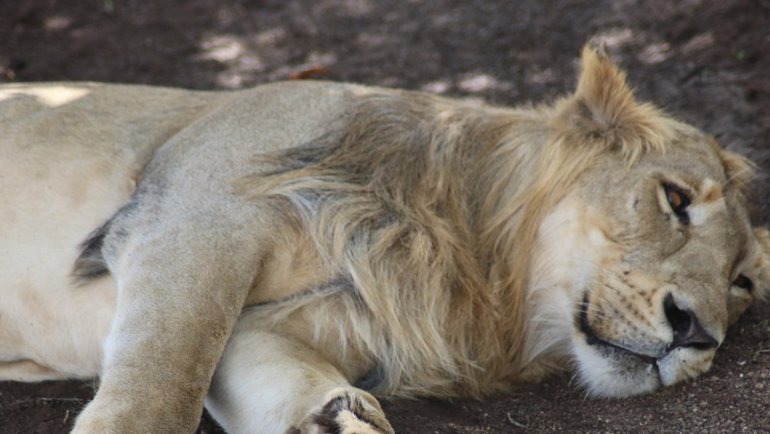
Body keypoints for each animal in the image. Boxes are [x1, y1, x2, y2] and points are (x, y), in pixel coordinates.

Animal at [0, 45, 764, 432]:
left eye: (743, 283)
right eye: (675, 200)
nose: (697, 332)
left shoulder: (290, 321)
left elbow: (258, 370)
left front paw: (335, 420)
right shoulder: (196, 211)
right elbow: (164, 384)